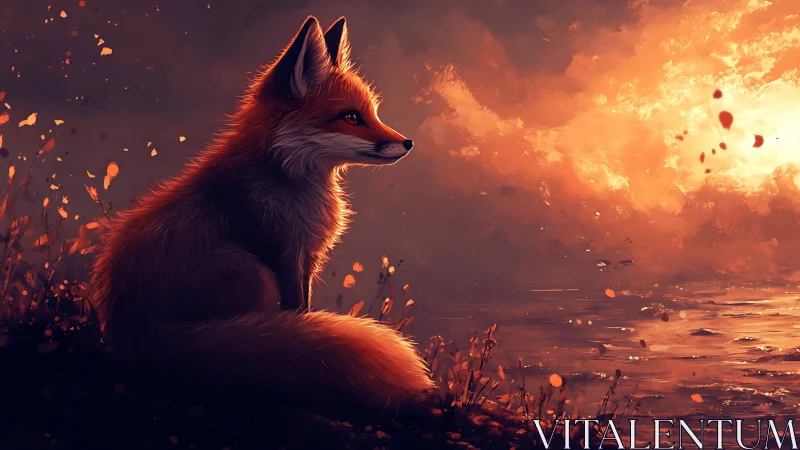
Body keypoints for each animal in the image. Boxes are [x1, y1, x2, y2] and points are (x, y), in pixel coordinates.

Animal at [90, 16, 433, 408]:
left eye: (372, 113)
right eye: (350, 117)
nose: (408, 143)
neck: (285, 175)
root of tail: (133, 329)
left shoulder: (306, 257)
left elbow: (304, 308)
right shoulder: (283, 252)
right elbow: (298, 312)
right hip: (250, 270)